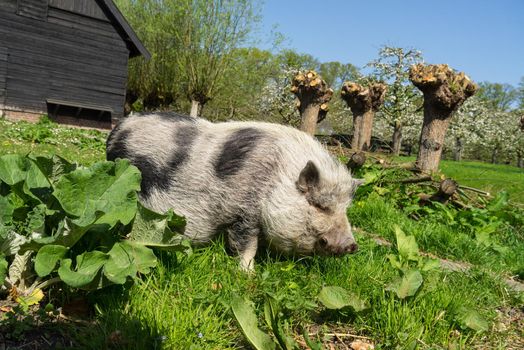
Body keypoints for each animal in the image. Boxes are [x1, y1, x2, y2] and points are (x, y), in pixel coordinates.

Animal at [106, 113, 360, 270]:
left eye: (344, 209)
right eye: (320, 205)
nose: (352, 245)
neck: (277, 178)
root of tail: (117, 131)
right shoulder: (243, 212)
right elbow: (246, 245)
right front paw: (248, 273)